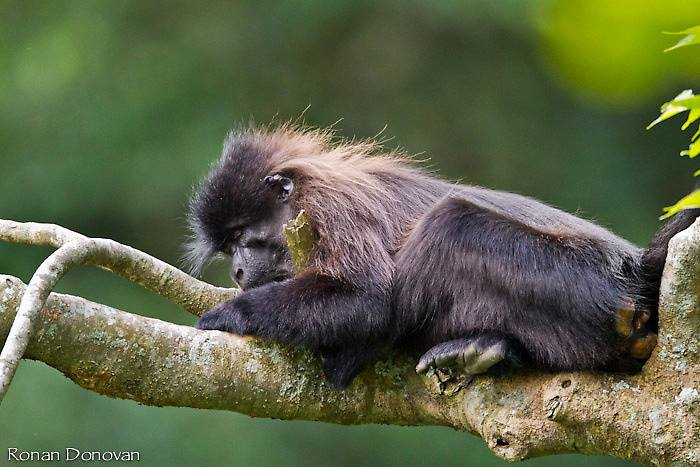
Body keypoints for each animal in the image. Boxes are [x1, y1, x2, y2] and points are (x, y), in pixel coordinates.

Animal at [187, 123, 700, 388]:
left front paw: (232, 313)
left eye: (242, 237)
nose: (237, 270)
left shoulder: (324, 207)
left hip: (586, 289)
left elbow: (369, 300)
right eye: (228, 247)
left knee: (448, 225)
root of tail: (635, 267)